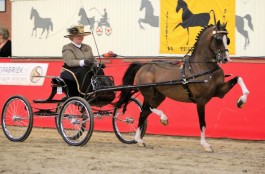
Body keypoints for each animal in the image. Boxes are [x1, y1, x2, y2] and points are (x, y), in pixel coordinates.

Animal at [114, 20, 249, 152]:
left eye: (228, 39)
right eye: (218, 39)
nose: (226, 59)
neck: (201, 67)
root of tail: (143, 66)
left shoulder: (220, 91)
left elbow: (238, 78)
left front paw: (241, 101)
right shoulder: (200, 101)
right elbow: (202, 122)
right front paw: (205, 145)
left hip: (159, 96)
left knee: (144, 113)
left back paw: (139, 140)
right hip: (148, 93)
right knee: (147, 108)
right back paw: (163, 119)